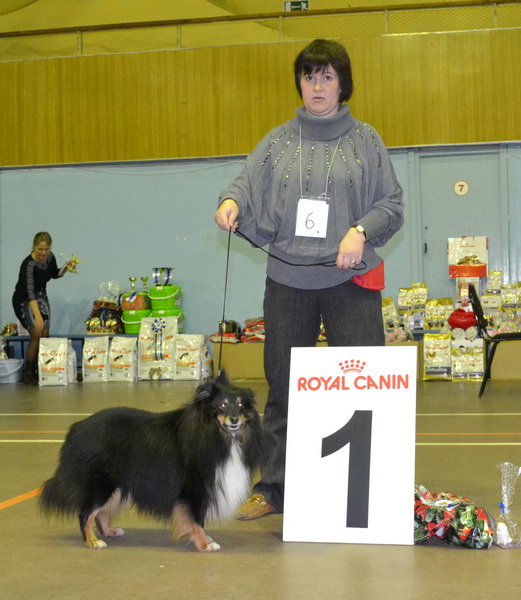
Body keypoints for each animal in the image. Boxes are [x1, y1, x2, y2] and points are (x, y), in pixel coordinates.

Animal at [39, 371, 264, 552]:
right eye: (223, 405)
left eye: (241, 404)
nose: (234, 419)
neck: (214, 433)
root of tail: (77, 428)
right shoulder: (194, 490)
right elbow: (196, 520)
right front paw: (204, 543)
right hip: (101, 484)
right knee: (86, 513)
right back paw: (92, 541)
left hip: (117, 485)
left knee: (100, 513)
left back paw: (109, 531)